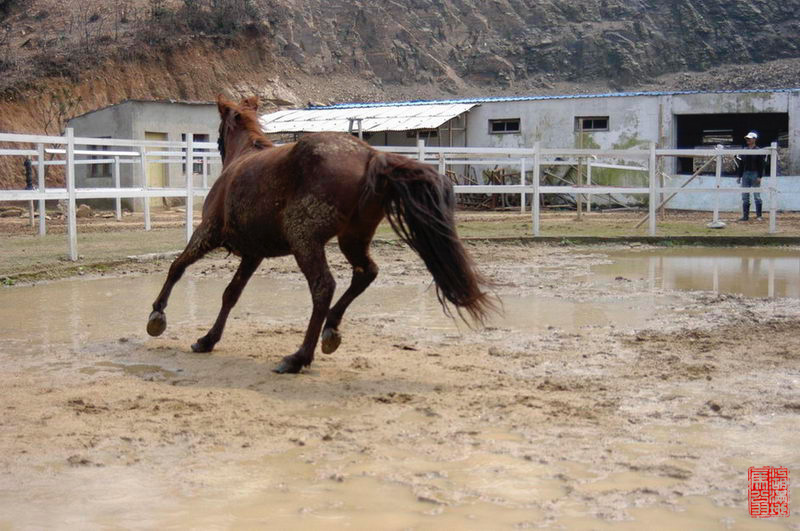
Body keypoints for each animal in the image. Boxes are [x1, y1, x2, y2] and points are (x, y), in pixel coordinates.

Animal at [145, 95, 494, 374]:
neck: (242, 158)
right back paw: (331, 330)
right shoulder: (253, 253)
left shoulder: (209, 233)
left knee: (324, 287)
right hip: (352, 239)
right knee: (366, 273)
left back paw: (298, 357)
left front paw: (157, 316)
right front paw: (207, 339)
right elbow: (231, 294)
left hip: (306, 241)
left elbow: (177, 267)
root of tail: (371, 156)